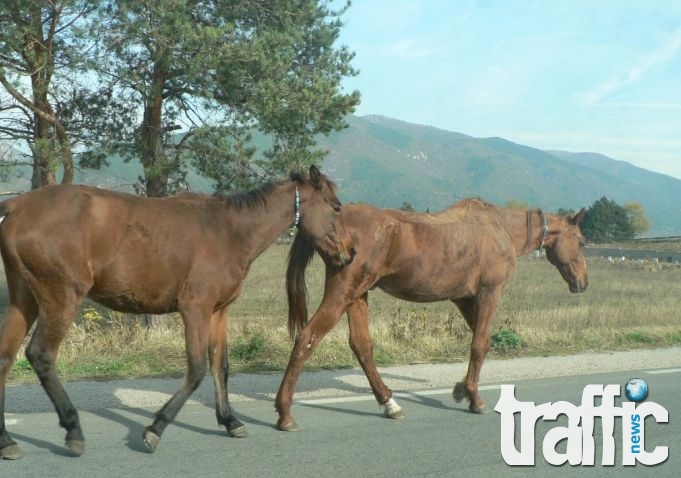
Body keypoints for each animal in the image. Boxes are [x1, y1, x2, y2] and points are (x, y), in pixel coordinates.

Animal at [0, 165, 354, 460]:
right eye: (336, 207)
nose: (350, 252)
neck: (229, 231)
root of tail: (16, 208)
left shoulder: (217, 312)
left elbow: (221, 366)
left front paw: (230, 421)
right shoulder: (195, 309)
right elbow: (197, 370)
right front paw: (155, 428)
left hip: (25, 300)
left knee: (5, 358)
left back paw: (7, 441)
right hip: (61, 297)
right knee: (41, 354)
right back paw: (73, 430)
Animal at [274, 196, 588, 432]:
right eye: (582, 241)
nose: (583, 283)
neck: (500, 229)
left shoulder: (462, 298)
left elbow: (481, 341)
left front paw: (462, 388)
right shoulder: (489, 292)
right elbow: (479, 345)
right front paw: (474, 398)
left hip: (357, 295)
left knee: (361, 346)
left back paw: (389, 403)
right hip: (343, 293)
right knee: (307, 337)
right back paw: (285, 413)